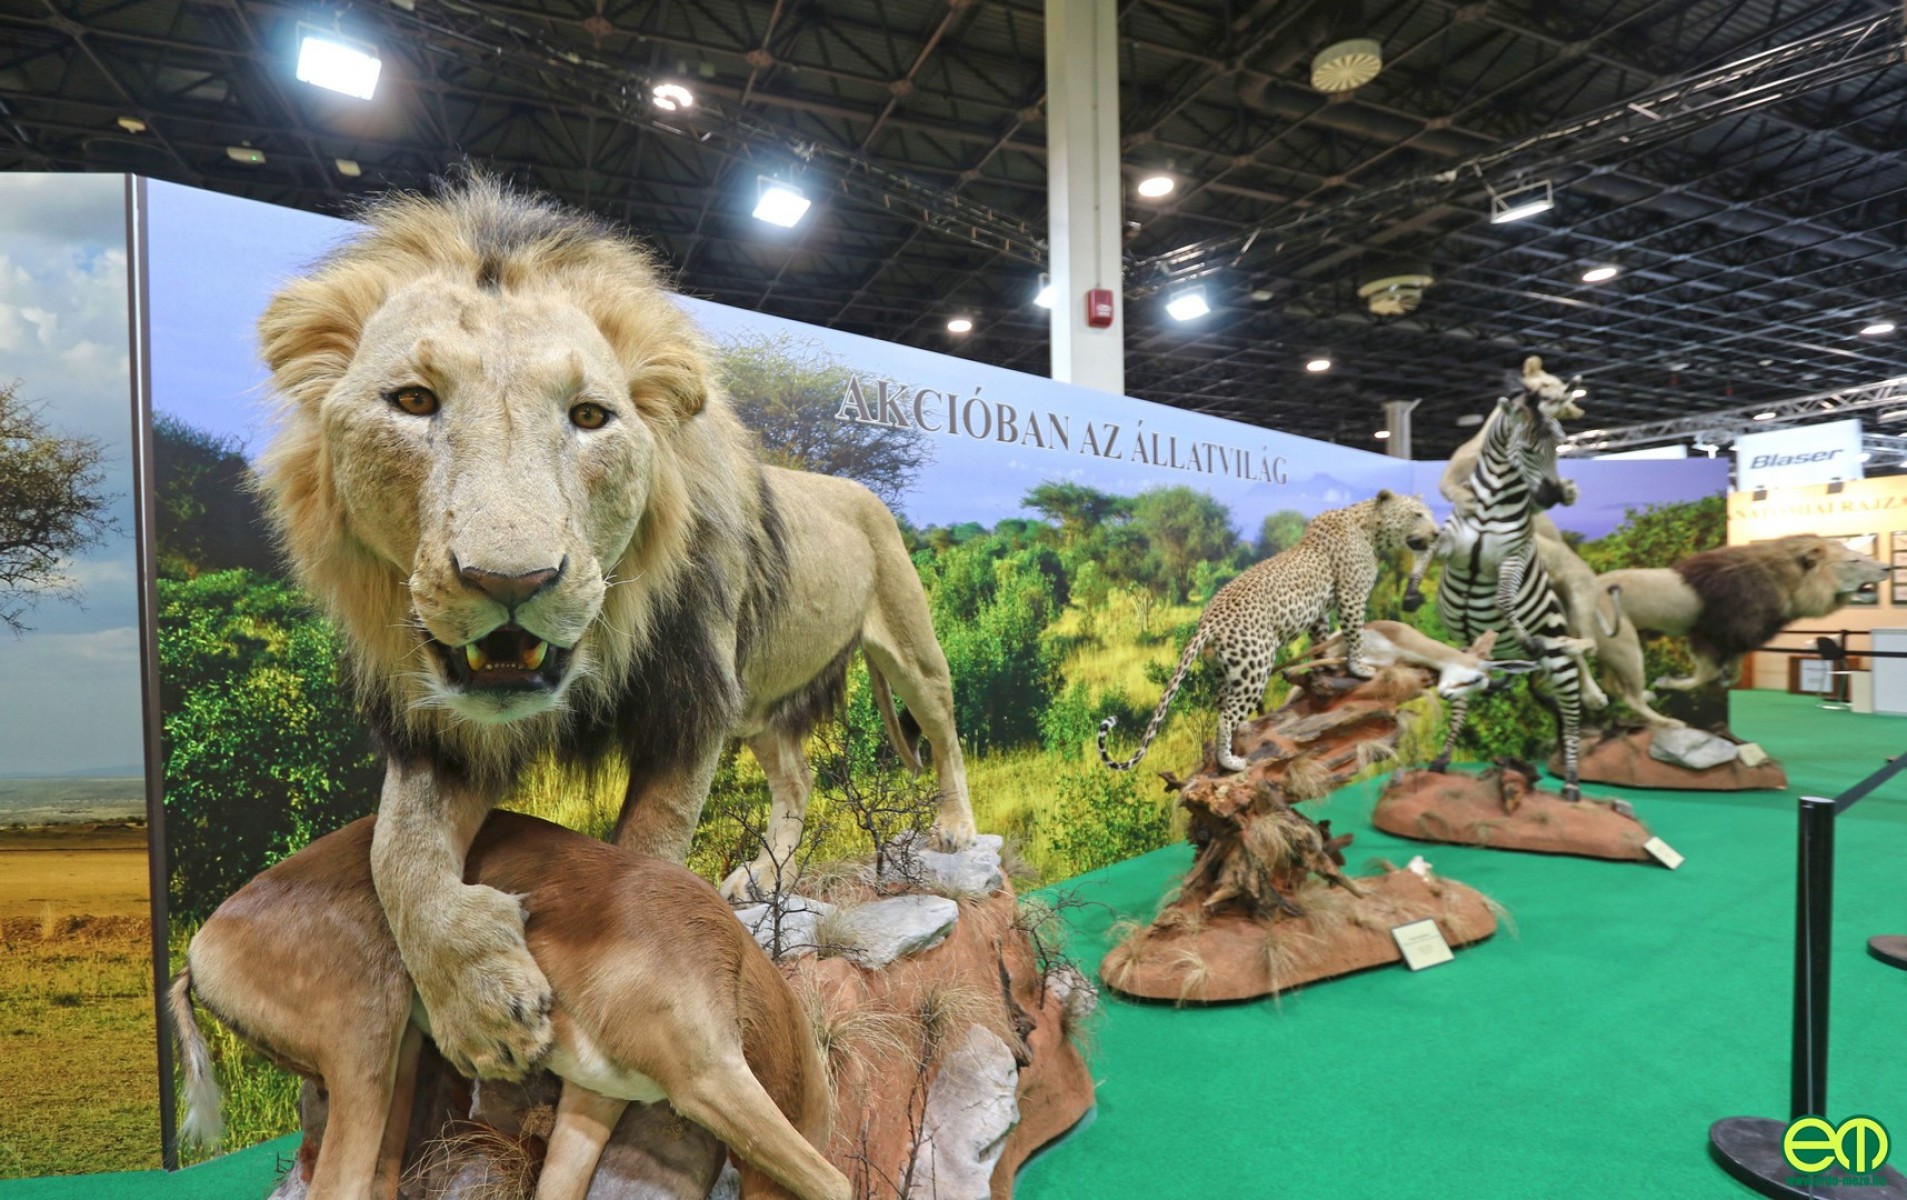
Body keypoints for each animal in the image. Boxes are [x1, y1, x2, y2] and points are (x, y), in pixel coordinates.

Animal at [253, 175, 968, 1075]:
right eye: (413, 401)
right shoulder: (444, 731)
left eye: (590, 416)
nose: (512, 580)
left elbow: (647, 853)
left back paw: (954, 829)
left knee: (944, 733)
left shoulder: (689, 701)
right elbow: (397, 856)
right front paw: (481, 1006)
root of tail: (858, 489)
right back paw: (765, 878)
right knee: (798, 778)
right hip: (757, 704)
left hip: (907, 646)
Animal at [1106, 492, 1434, 770]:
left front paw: (1324, 668)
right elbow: (1355, 635)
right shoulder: (1352, 597)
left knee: (1222, 705)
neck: (1368, 527)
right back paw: (1230, 762)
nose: (1435, 534)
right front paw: (1359, 668)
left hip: (1227, 671)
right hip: (1255, 667)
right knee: (1227, 715)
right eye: (1417, 514)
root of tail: (1208, 621)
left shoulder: (1319, 612)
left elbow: (1321, 637)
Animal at [1403, 383, 1594, 797]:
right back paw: (1441, 759)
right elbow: (1427, 550)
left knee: (1572, 715)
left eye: (1560, 446)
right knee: (1461, 703)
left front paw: (1524, 634)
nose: (1553, 496)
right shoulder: (1450, 544)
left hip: (1561, 656)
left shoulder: (1514, 556)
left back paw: (1572, 784)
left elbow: (1505, 598)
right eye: (1528, 448)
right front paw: (1411, 594)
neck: (1492, 503)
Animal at [1586, 534, 1884, 709]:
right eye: (1855, 560)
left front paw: (1726, 678)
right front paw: (1666, 682)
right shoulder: (1712, 633)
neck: (1785, 583)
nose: (1886, 567)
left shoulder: (1741, 639)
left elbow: (1735, 670)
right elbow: (1703, 674)